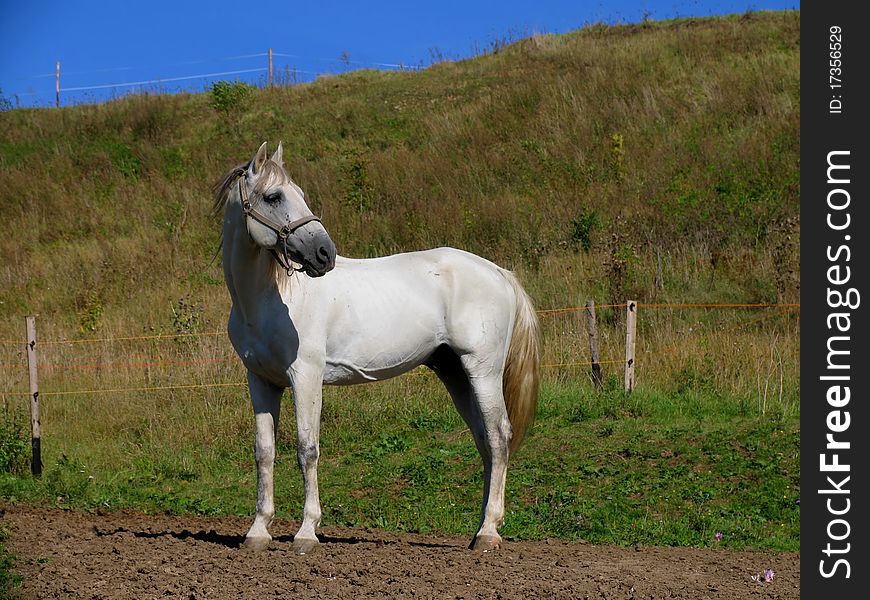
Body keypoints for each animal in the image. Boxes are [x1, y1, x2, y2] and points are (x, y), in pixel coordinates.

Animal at [215, 143, 540, 556]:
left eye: (300, 194)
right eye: (274, 196)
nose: (324, 253)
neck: (266, 300)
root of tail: (499, 273)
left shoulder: (306, 376)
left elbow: (307, 449)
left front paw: (306, 533)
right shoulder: (261, 381)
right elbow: (264, 452)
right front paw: (257, 531)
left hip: (482, 371)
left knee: (499, 436)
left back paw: (488, 533)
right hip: (456, 375)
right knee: (485, 442)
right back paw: (479, 529)